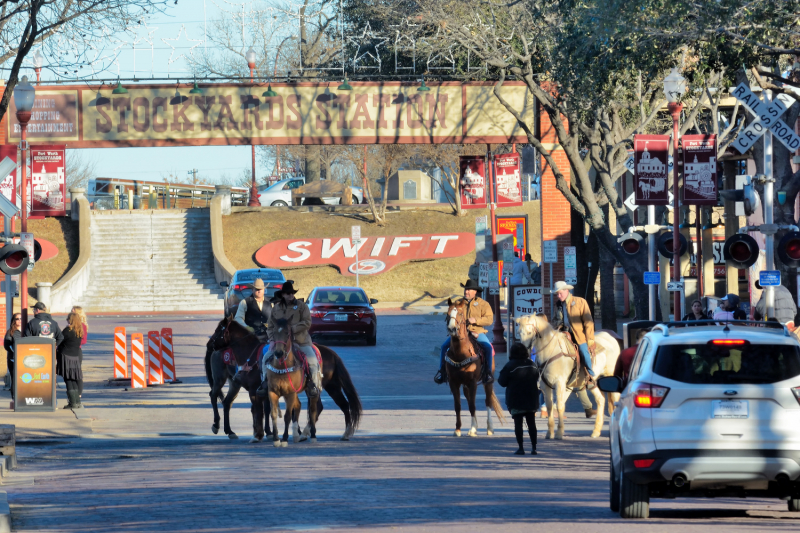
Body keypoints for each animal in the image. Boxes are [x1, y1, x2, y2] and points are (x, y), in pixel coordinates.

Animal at [216, 318, 360, 438]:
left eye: (218, 330)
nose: (212, 344)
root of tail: (332, 353)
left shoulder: (254, 390)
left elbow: (258, 410)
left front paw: (261, 432)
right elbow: (266, 409)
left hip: (321, 386)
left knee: (321, 406)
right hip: (332, 386)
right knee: (341, 405)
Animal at [446, 298, 504, 434]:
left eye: (460, 313)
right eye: (447, 313)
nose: (451, 329)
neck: (460, 353)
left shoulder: (472, 382)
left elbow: (473, 405)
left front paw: (472, 429)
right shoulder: (454, 382)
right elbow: (458, 406)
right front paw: (458, 429)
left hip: (488, 382)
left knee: (488, 401)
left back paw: (489, 427)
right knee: (468, 400)